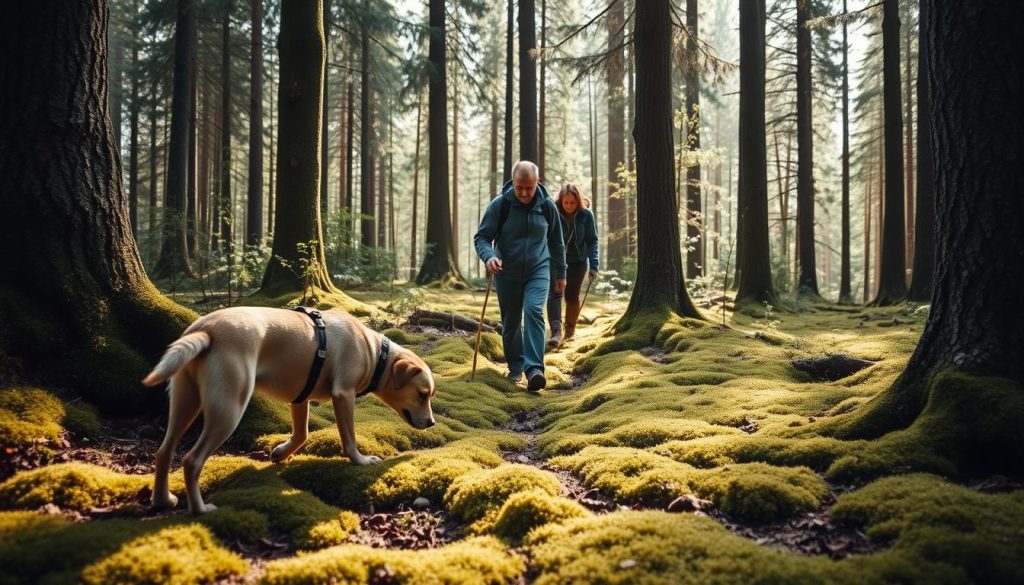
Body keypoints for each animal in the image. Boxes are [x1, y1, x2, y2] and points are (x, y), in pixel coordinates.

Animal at [141, 307, 436, 512]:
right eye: (423, 395)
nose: (432, 423)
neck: (376, 353)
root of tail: (206, 330)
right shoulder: (344, 395)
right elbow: (349, 438)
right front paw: (360, 460)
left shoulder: (300, 399)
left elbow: (301, 434)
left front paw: (282, 453)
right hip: (229, 409)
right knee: (192, 460)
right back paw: (199, 509)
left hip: (185, 402)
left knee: (164, 451)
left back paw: (162, 500)